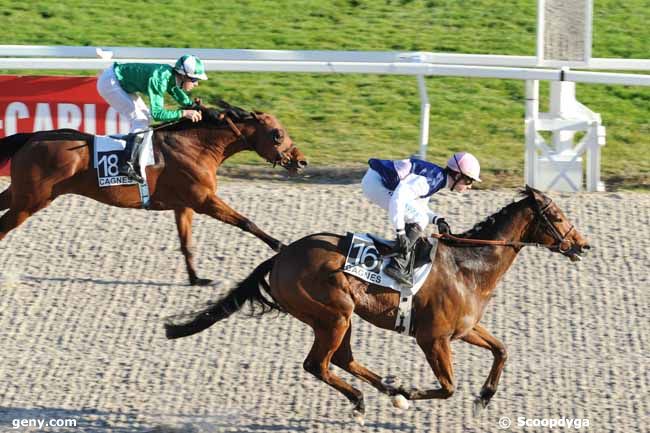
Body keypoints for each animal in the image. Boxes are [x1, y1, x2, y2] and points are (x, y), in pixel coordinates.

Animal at [0, 100, 306, 286]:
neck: (196, 146)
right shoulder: (204, 200)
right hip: (31, 201)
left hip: (20, 193)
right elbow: (246, 222)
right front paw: (280, 245)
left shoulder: (184, 205)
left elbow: (186, 243)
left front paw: (197, 279)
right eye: (278, 134)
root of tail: (32, 137)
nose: (301, 161)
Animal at [166, 185, 588, 422]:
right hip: (333, 315)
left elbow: (502, 350)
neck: (468, 266)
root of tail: (281, 256)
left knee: (341, 359)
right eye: (556, 216)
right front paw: (414, 395)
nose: (582, 245)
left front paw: (484, 397)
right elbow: (448, 386)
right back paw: (368, 397)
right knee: (318, 364)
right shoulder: (433, 339)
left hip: (340, 317)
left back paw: (389, 388)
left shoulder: (464, 328)